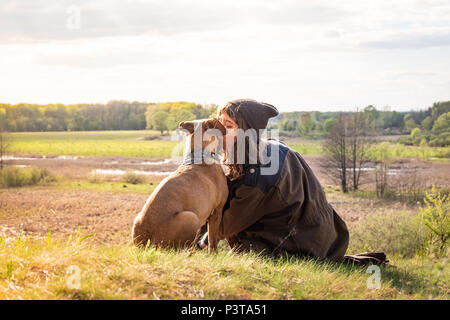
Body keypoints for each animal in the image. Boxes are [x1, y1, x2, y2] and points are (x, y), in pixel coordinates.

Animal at [132, 119, 227, 251]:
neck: (200, 154)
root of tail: (147, 241)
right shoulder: (216, 212)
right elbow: (213, 242)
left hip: (137, 219)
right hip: (191, 218)